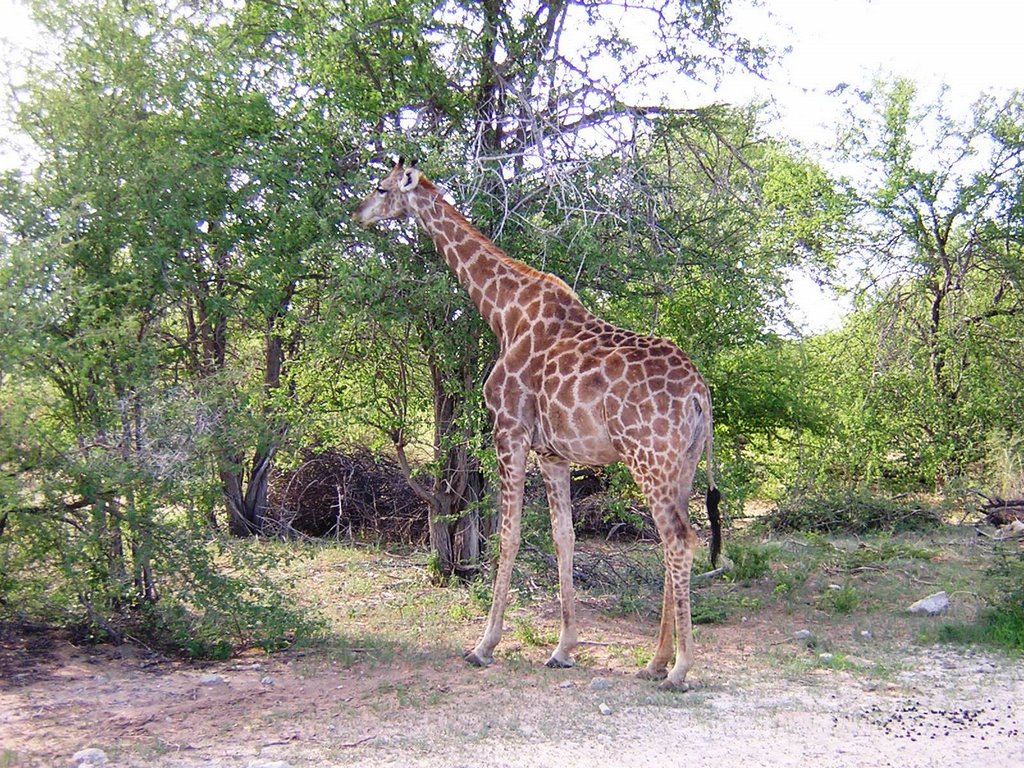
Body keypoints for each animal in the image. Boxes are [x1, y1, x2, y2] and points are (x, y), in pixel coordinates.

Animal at [354, 157, 720, 692]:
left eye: (381, 188)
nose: (358, 214)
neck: (502, 312)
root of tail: (700, 394)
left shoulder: (509, 431)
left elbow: (505, 537)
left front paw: (484, 645)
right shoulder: (553, 454)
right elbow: (563, 537)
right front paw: (563, 649)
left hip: (647, 456)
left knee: (679, 540)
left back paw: (679, 669)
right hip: (682, 464)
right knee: (675, 539)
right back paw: (654, 662)